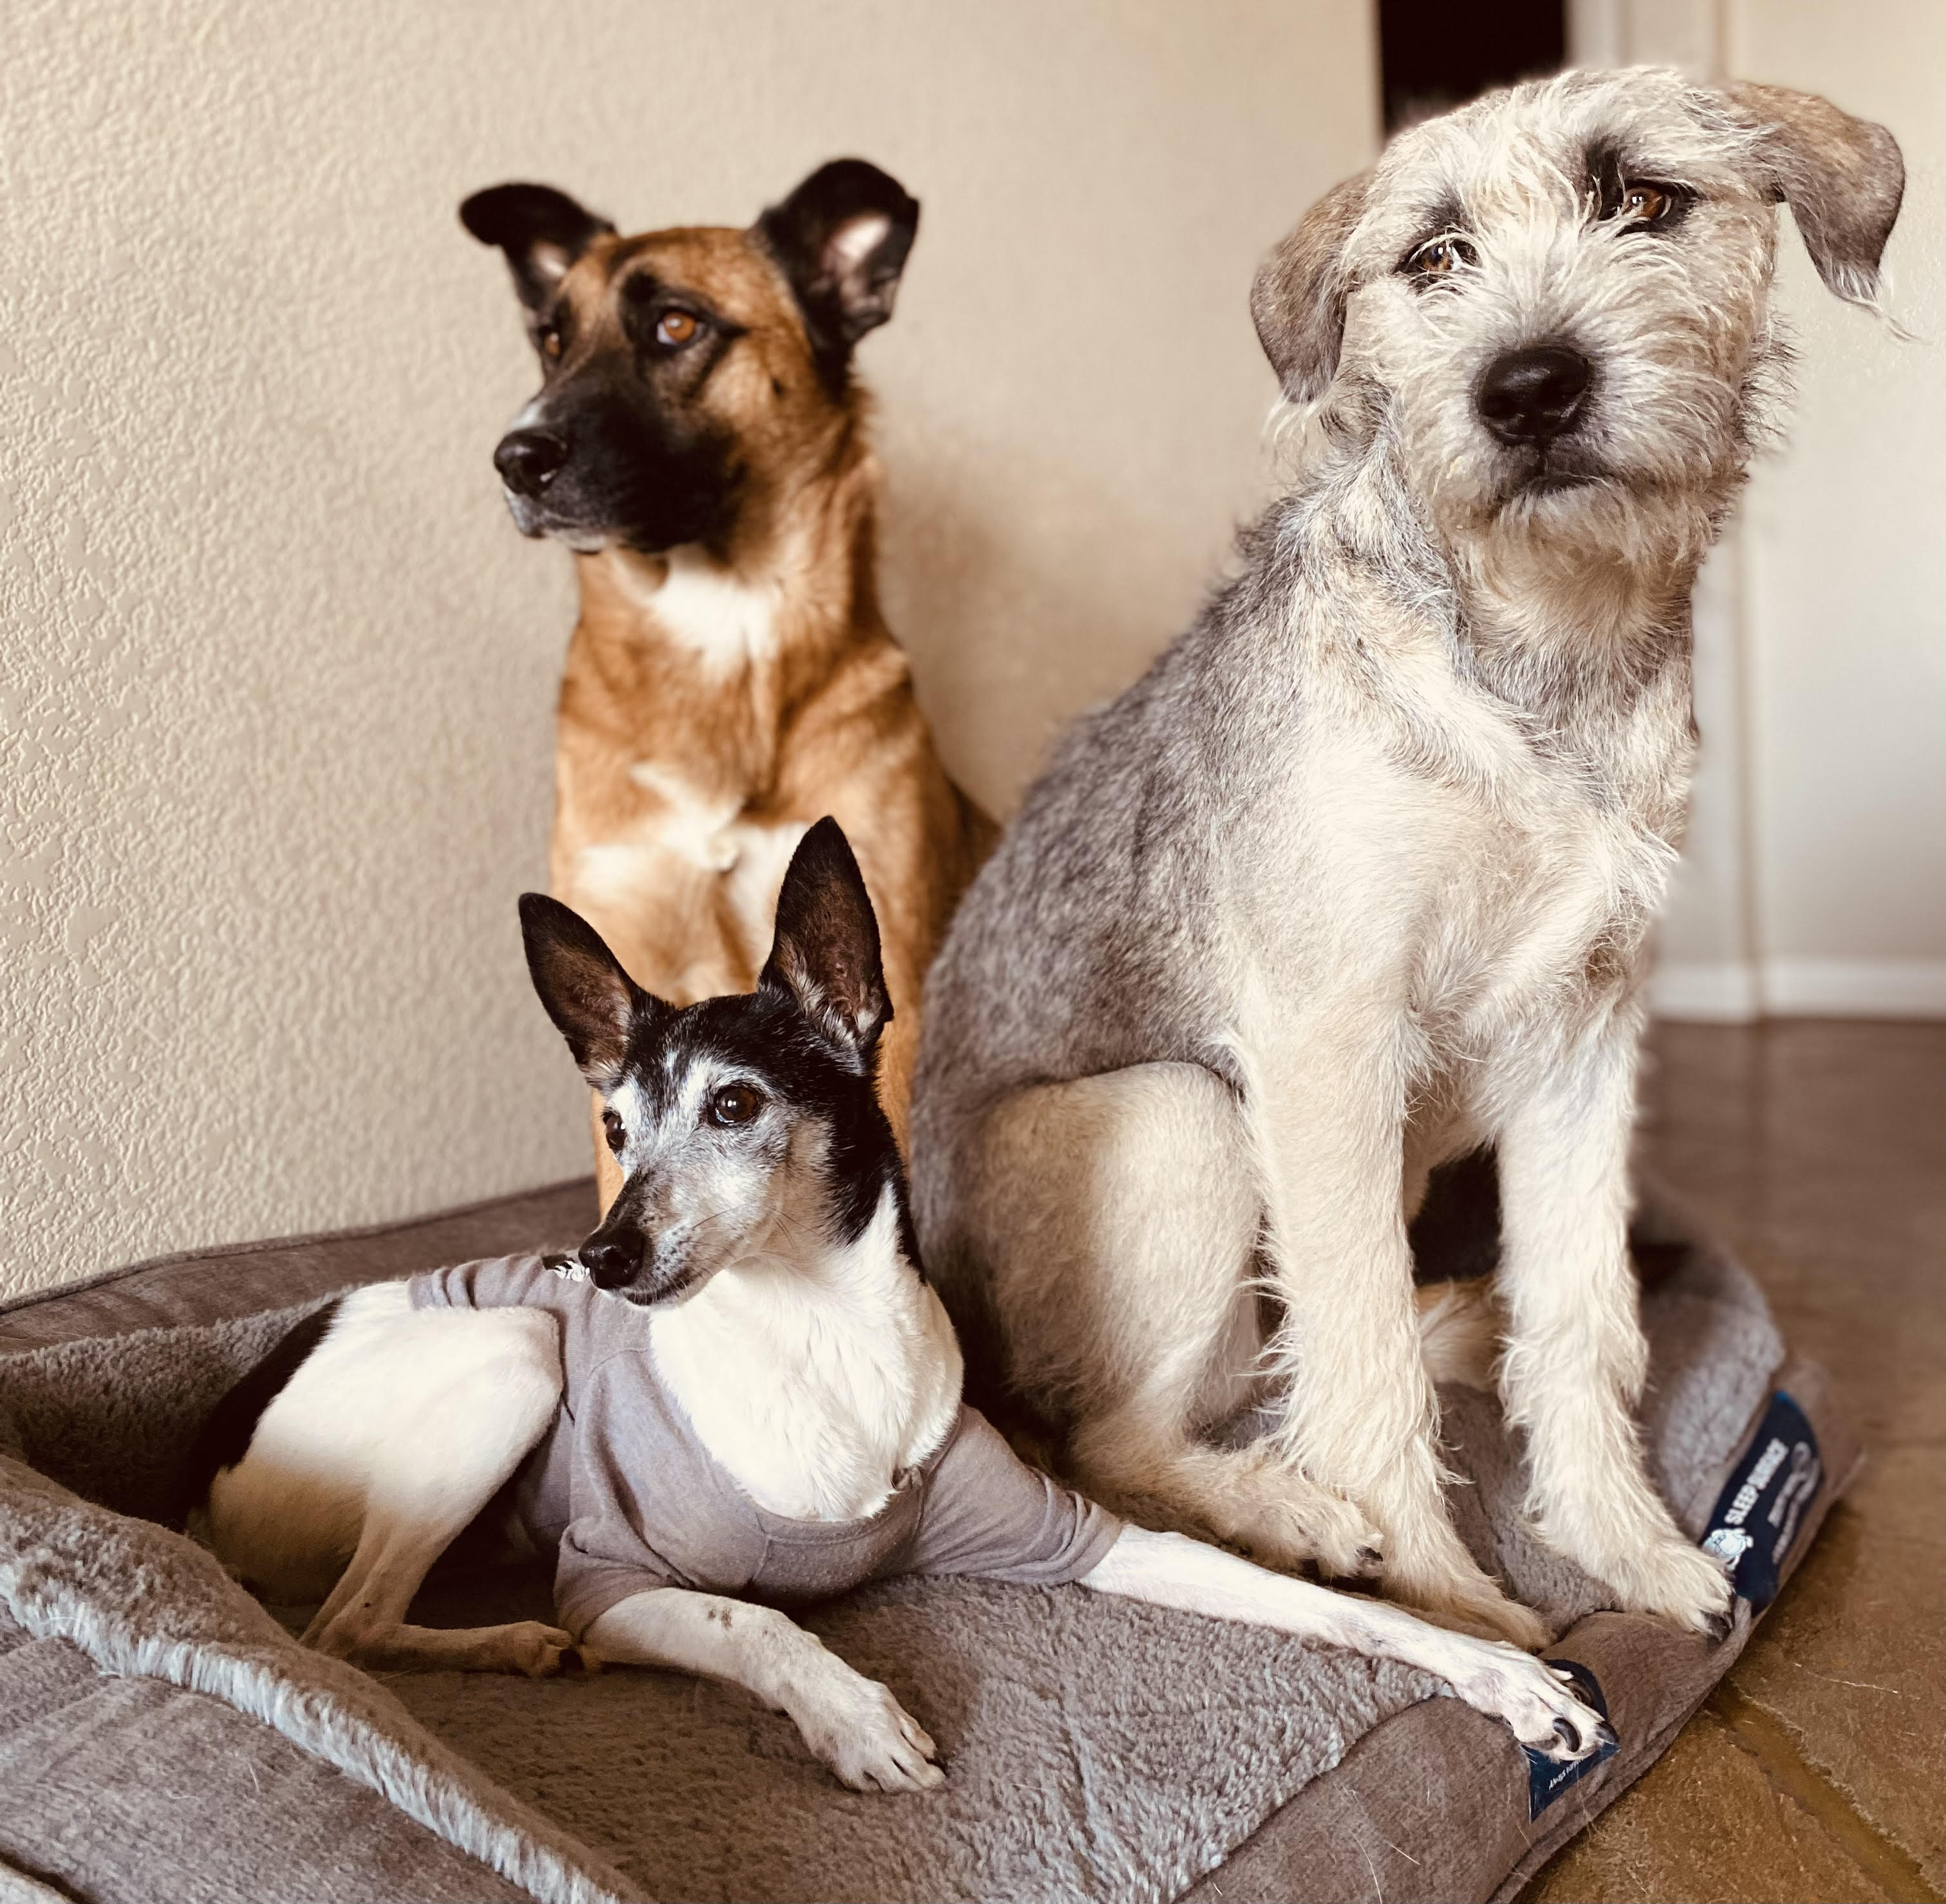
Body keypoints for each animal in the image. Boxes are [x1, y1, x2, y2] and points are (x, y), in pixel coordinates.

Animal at [197, 824, 1603, 1797]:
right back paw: (515, 1641)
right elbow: (756, 1616)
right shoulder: (614, 1578)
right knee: (344, 1626)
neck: (824, 1343)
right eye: (614, 1128)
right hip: (514, 1347)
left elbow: (1341, 1609)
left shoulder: (1067, 1530)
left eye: (733, 1105)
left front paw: (1502, 1673)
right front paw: (854, 1712)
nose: (600, 1255)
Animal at [911, 70, 1899, 1649]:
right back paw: (1296, 1513)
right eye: (1434, 257)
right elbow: (1360, 1339)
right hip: (1187, 1113)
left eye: (1644, 199)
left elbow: (1580, 1310)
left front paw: (1624, 1548)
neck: (1540, 661)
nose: (1530, 389)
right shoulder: (1326, 1047)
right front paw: (1458, 1611)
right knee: (1119, 1435)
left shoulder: (1582, 1039)